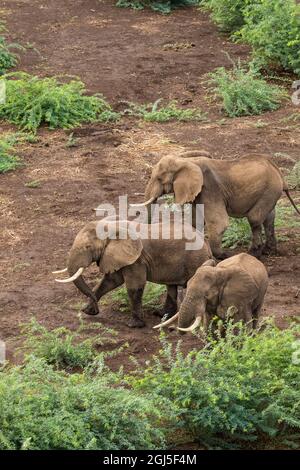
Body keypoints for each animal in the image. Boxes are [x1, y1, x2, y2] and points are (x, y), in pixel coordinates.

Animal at [52, 219, 212, 326]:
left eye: (87, 247)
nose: (95, 307)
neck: (110, 226)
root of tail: (206, 243)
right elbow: (110, 281)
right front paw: (88, 311)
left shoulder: (137, 259)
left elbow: (134, 286)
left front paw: (134, 325)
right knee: (170, 286)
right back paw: (161, 314)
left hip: (196, 260)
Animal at [134, 151, 300, 258]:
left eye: (159, 179)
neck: (186, 160)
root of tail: (278, 171)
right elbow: (195, 221)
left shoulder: (210, 189)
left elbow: (219, 222)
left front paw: (222, 255)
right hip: (270, 192)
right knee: (269, 218)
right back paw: (268, 251)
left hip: (270, 189)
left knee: (254, 219)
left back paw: (253, 253)